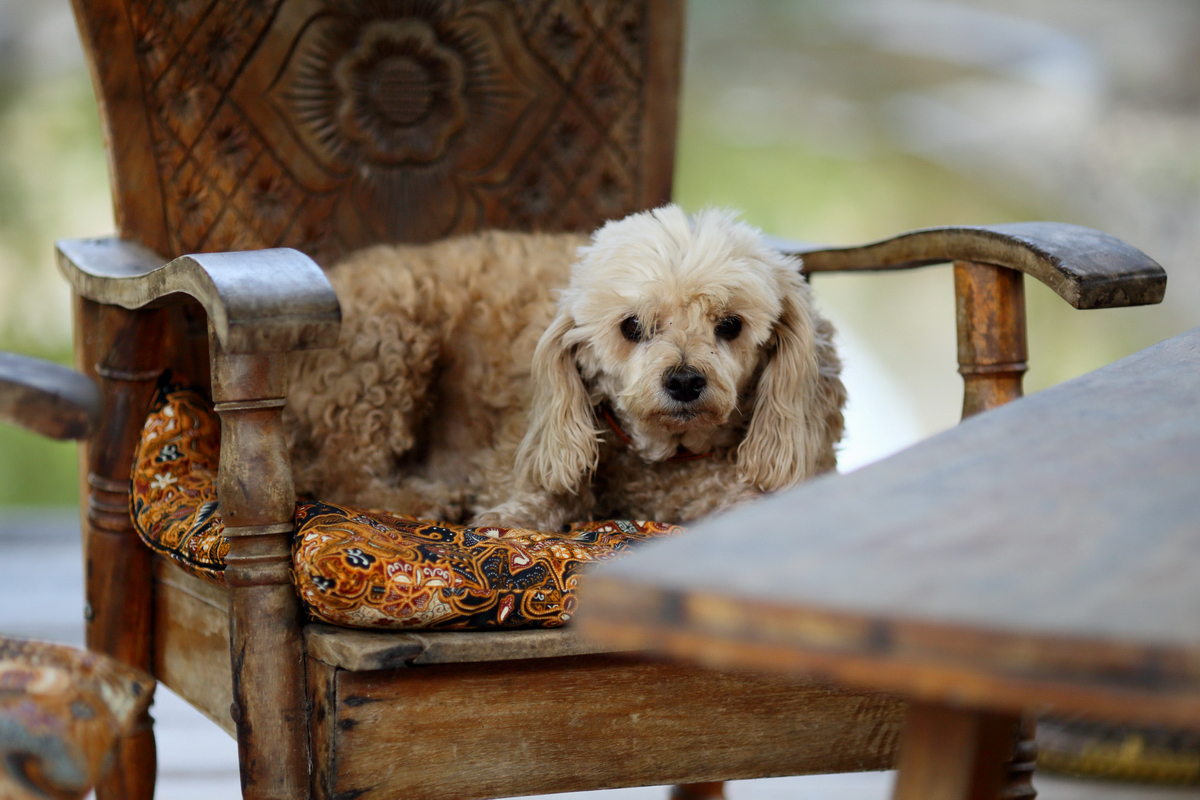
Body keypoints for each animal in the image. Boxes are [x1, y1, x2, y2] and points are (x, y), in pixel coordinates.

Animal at [283, 205, 846, 531]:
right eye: (632, 326)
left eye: (730, 325)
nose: (684, 381)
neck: (669, 460)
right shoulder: (514, 454)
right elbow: (550, 493)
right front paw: (514, 514)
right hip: (389, 343)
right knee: (341, 473)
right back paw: (429, 500)